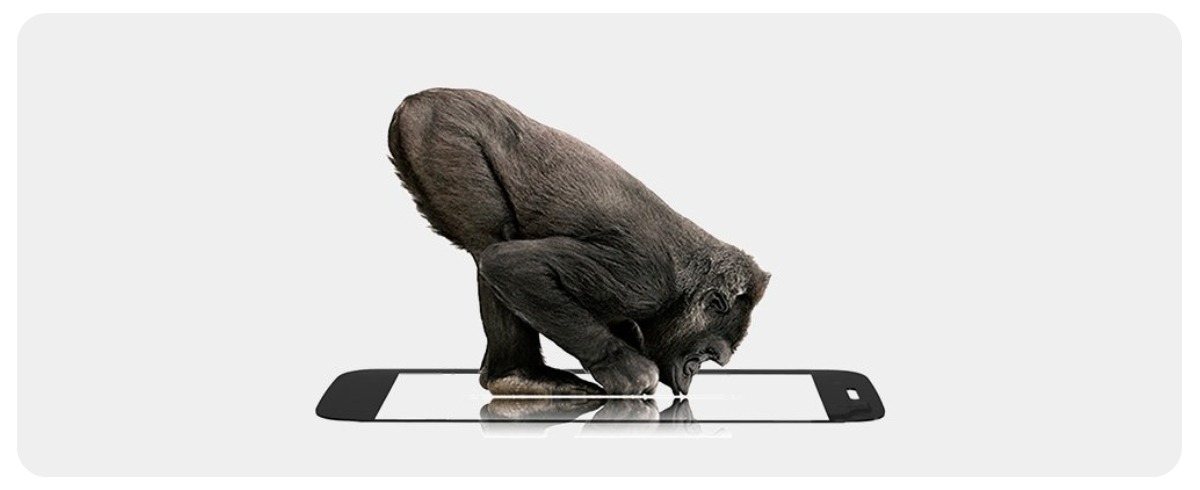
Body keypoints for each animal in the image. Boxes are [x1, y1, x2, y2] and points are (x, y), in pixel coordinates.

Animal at [387, 88, 769, 396]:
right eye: (706, 355)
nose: (690, 376)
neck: (681, 290)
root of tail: (415, 100)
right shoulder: (645, 281)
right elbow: (513, 265)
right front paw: (622, 367)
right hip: (443, 134)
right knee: (490, 245)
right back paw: (516, 375)